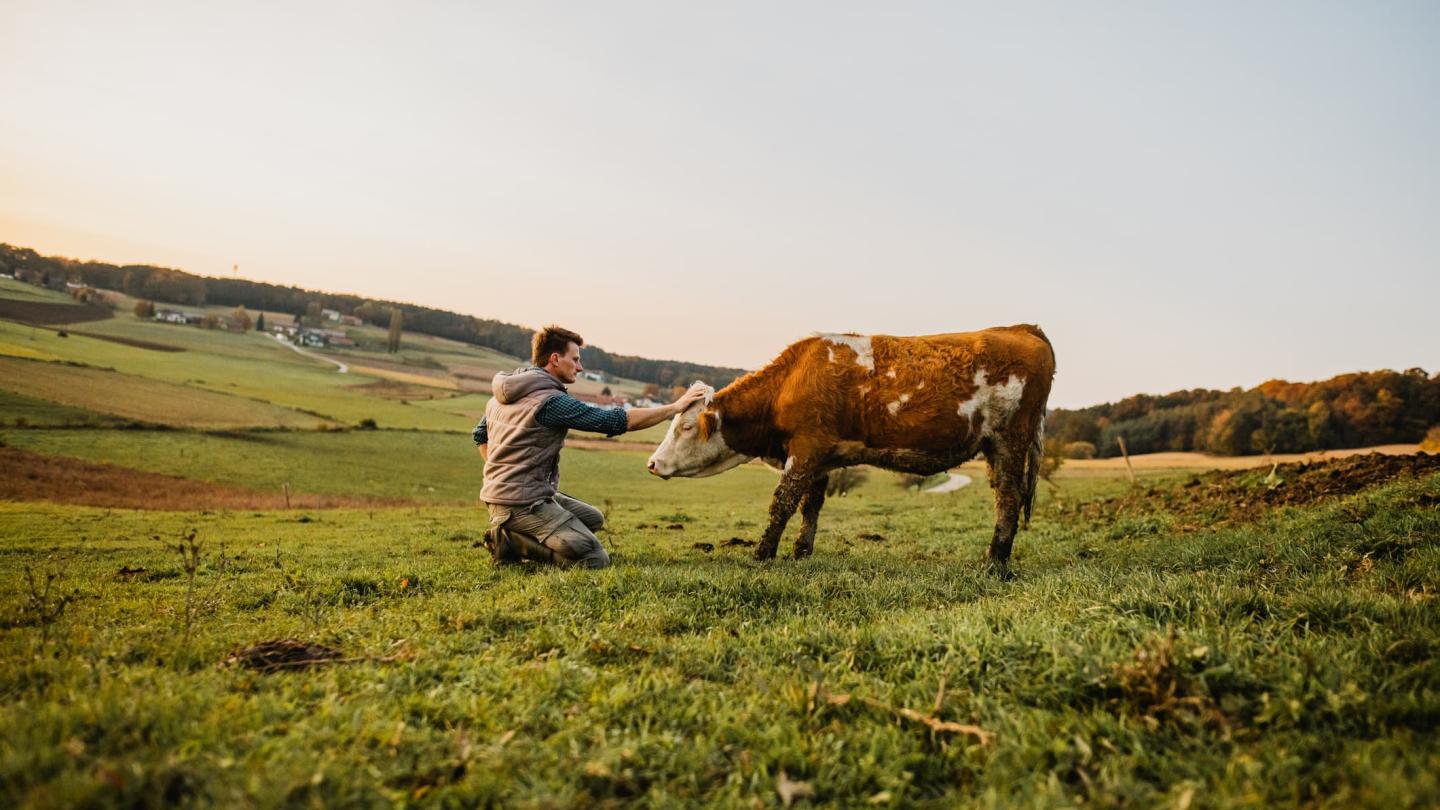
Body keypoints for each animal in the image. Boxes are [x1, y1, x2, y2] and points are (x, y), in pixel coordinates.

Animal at [646, 325, 1055, 569]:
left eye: (685, 426)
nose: (652, 463)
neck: (789, 381)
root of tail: (1022, 328)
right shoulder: (820, 457)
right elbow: (810, 506)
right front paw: (801, 554)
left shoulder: (806, 446)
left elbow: (782, 503)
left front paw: (763, 554)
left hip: (1009, 441)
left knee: (1009, 499)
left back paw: (996, 563)